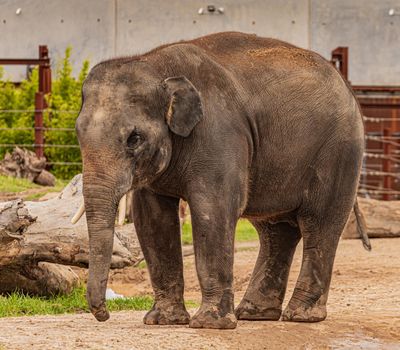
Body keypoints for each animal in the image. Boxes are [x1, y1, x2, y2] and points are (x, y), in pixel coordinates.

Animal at [75, 31, 366, 330]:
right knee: (276, 230)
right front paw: (162, 321)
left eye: (134, 138)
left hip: (339, 152)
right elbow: (152, 219)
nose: (103, 314)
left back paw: (301, 316)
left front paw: (209, 324)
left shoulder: (218, 135)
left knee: (319, 224)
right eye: (77, 133)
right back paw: (254, 313)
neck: (156, 65)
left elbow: (213, 210)